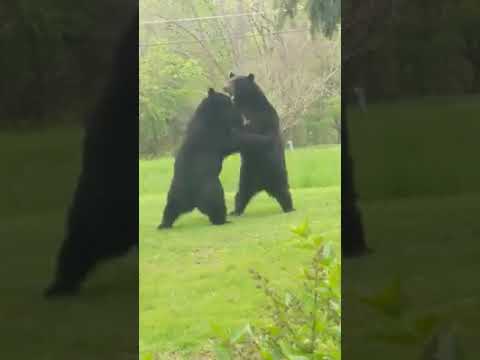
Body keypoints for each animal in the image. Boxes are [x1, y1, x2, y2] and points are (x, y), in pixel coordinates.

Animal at [157, 88, 270, 228]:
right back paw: (223, 220)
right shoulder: (216, 135)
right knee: (217, 205)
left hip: (175, 194)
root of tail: (192, 198)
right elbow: (235, 140)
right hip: (211, 190)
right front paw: (264, 139)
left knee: (171, 209)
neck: (211, 116)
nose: (232, 100)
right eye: (228, 101)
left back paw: (164, 224)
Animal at [223, 71, 294, 215]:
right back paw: (235, 211)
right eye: (230, 80)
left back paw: (289, 207)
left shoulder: (263, 117)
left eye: (236, 81)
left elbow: (259, 133)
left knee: (283, 190)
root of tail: (262, 185)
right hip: (246, 174)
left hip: (276, 171)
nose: (225, 87)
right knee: (241, 193)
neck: (246, 102)